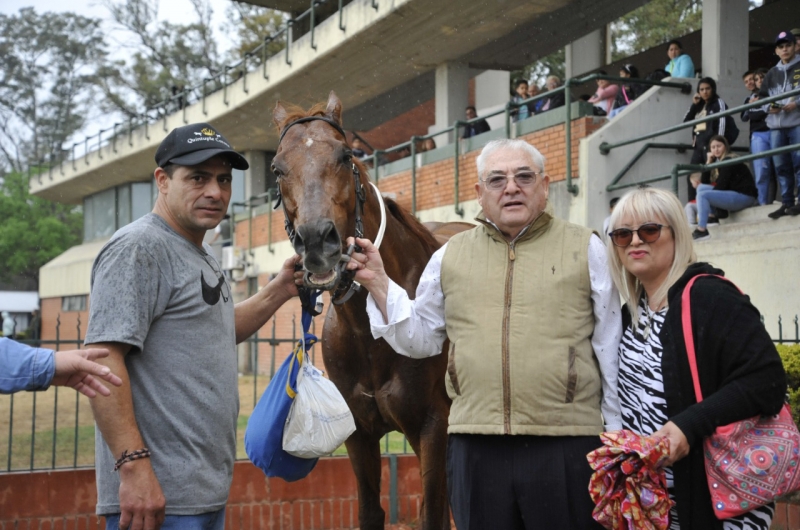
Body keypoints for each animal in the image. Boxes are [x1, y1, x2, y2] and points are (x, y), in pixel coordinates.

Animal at [272, 92, 454, 528]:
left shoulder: (432, 425)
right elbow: (371, 511)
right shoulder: (359, 434)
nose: (317, 241)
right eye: (277, 168)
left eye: (345, 155)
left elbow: (432, 512)